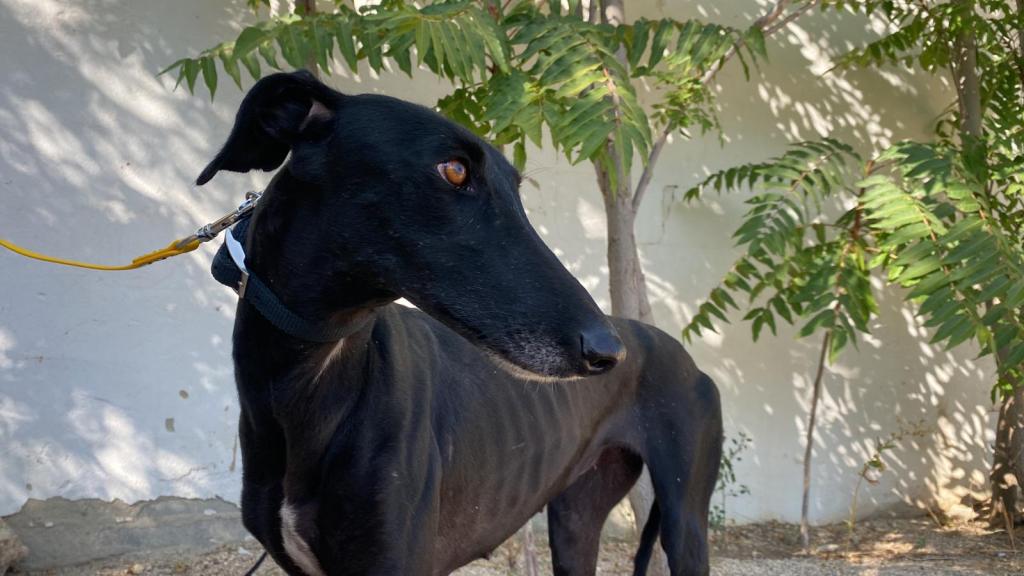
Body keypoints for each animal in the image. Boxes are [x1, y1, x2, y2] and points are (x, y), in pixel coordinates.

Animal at [198, 70, 722, 576]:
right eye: (454, 170)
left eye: (516, 189)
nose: (607, 352)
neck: (311, 377)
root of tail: (687, 359)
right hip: (577, 516)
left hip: (685, 520)